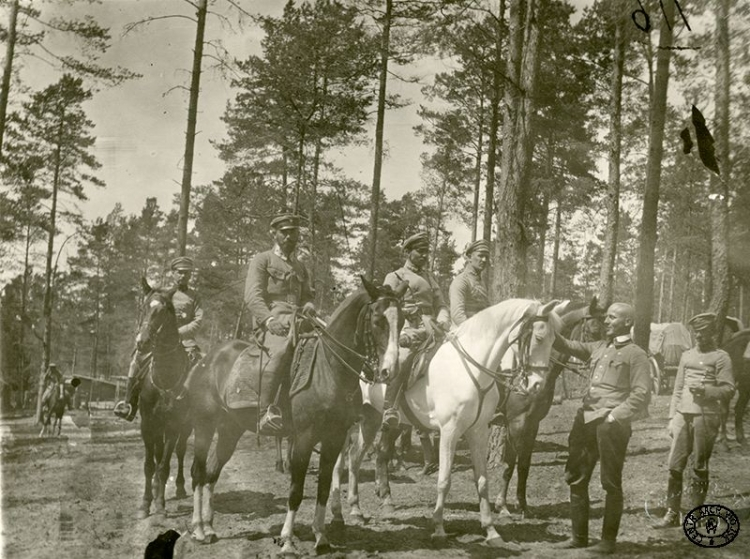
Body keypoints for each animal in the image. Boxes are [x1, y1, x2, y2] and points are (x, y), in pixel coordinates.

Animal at [191, 278, 408, 552]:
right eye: (378, 319)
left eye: (402, 320)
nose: (391, 370)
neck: (329, 371)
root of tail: (207, 359)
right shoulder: (304, 438)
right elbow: (296, 490)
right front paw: (286, 540)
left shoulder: (334, 438)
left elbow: (324, 486)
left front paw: (321, 536)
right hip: (204, 427)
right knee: (198, 473)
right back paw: (198, 528)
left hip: (231, 429)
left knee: (212, 472)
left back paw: (209, 527)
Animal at [330, 298, 564, 548]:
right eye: (538, 337)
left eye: (554, 340)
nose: (537, 385)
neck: (471, 370)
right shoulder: (450, 431)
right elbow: (444, 480)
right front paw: (439, 529)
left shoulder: (478, 431)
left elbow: (482, 481)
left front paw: (491, 531)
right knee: (341, 461)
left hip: (372, 418)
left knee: (355, 458)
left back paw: (356, 509)